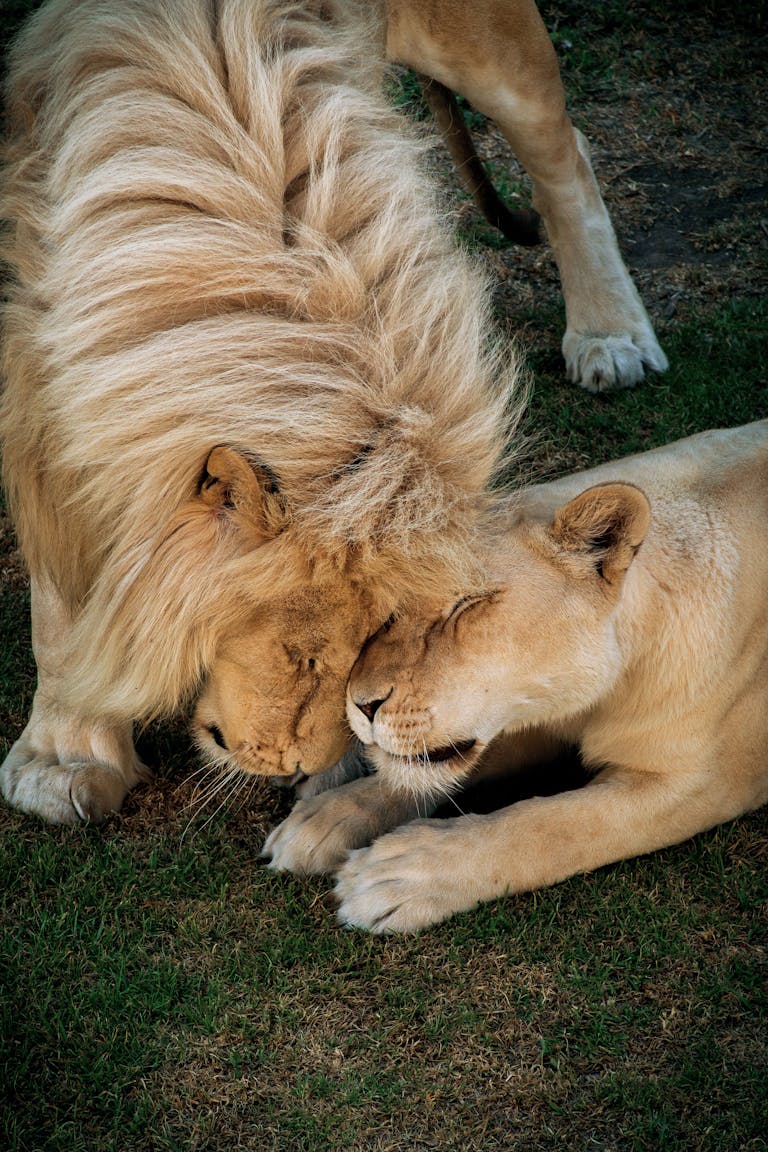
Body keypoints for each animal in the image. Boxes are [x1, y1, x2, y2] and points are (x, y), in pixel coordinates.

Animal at [1, 0, 664, 826]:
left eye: (381, 641)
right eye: (304, 655)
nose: (297, 774)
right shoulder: (35, 371)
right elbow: (64, 599)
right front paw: (65, 758)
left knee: (563, 148)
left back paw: (612, 332)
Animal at [262, 421, 768, 932]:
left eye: (467, 603)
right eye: (392, 604)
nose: (361, 704)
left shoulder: (703, 782)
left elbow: (555, 823)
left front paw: (400, 872)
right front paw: (328, 818)